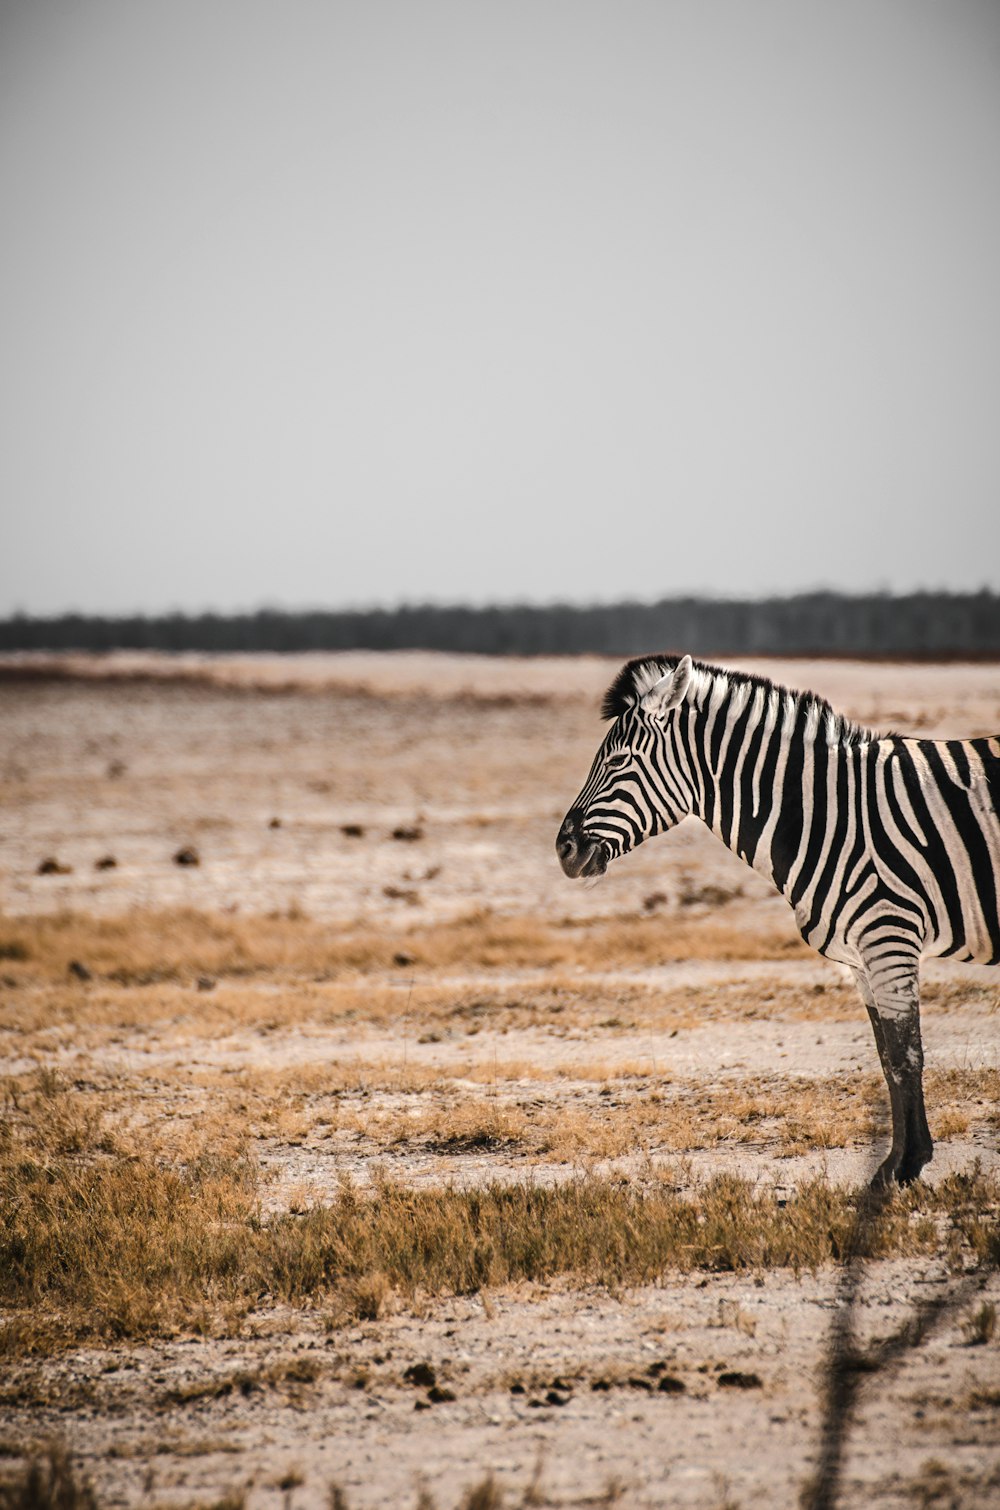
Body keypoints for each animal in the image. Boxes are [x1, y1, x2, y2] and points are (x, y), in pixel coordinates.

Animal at [555, 655, 1000, 1183]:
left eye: (618, 762)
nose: (563, 849)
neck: (829, 813)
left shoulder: (889, 937)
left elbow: (905, 1054)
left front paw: (909, 1164)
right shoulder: (862, 958)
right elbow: (886, 1057)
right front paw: (894, 1163)